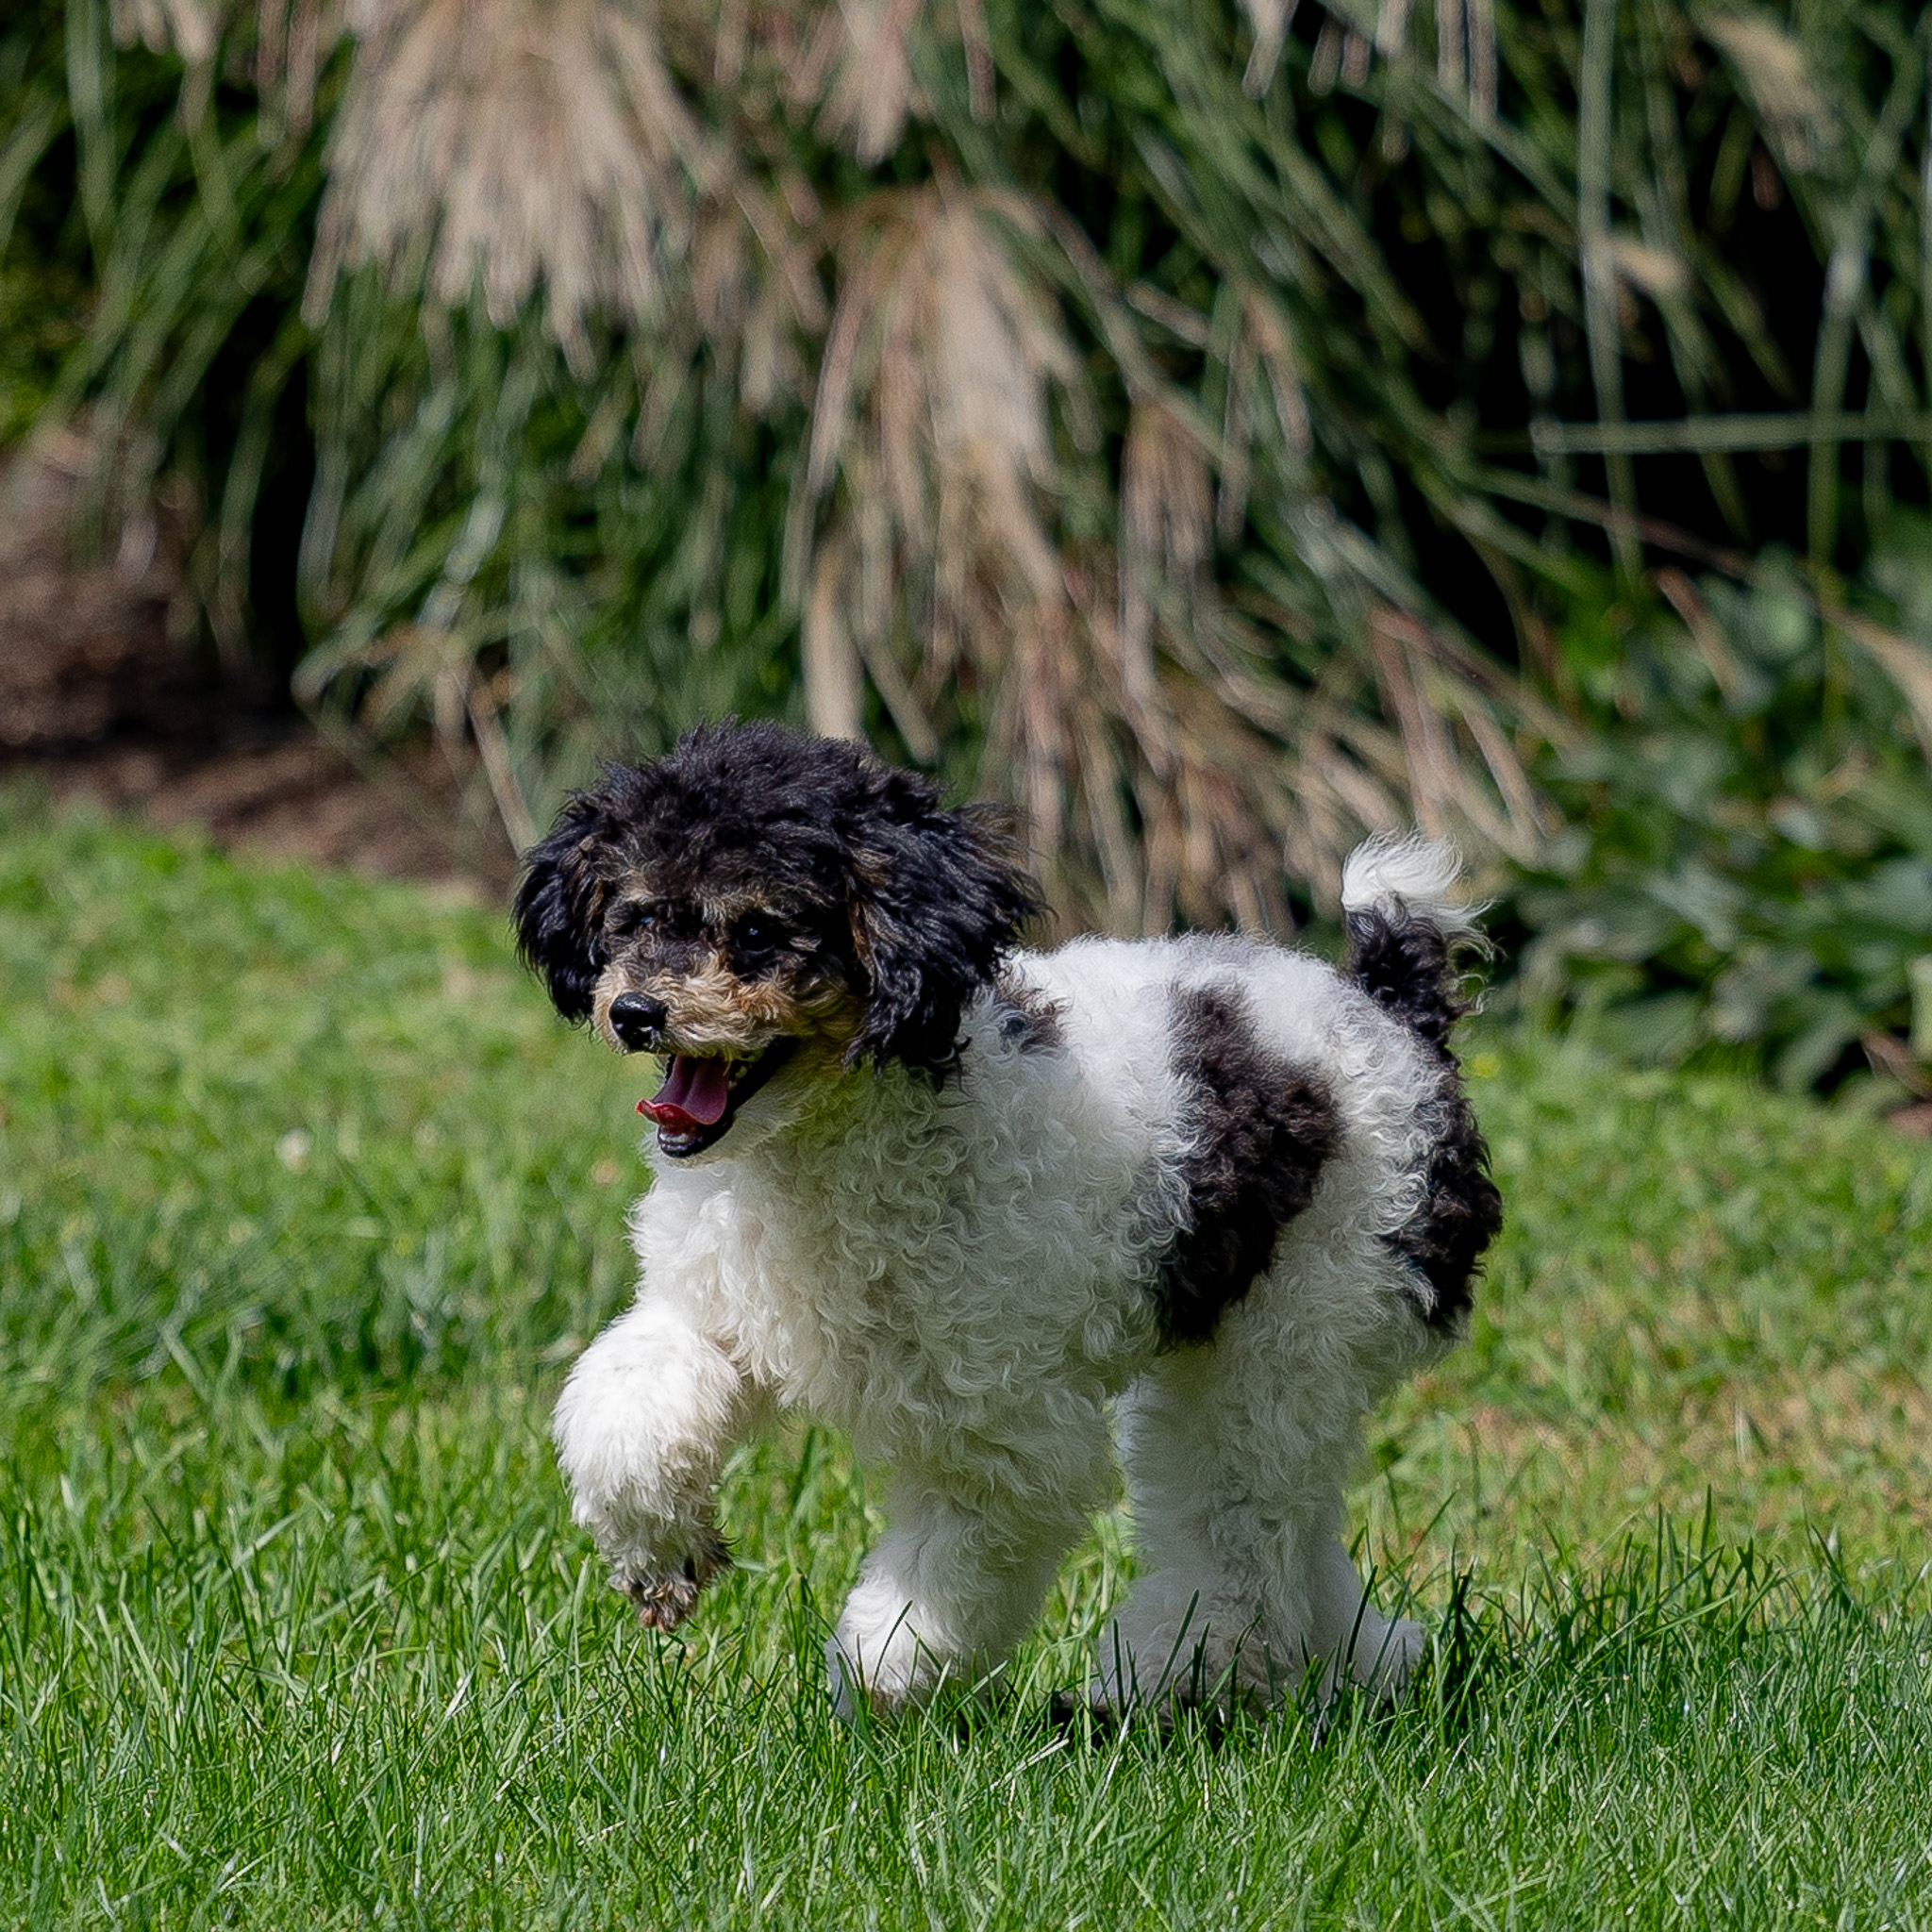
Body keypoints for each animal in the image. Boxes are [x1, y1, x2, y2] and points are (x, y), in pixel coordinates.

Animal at [517, 726, 1507, 1723]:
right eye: (636, 916)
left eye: (758, 929)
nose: (635, 1011)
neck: (827, 1138)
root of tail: (1390, 1010)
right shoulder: (715, 1312)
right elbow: (625, 1408)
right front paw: (660, 1558)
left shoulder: (1002, 1430)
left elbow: (948, 1565)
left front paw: (875, 1684)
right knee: (1298, 1531)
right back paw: (1366, 1666)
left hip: (1298, 1323)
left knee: (1239, 1533)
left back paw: (1165, 1684)